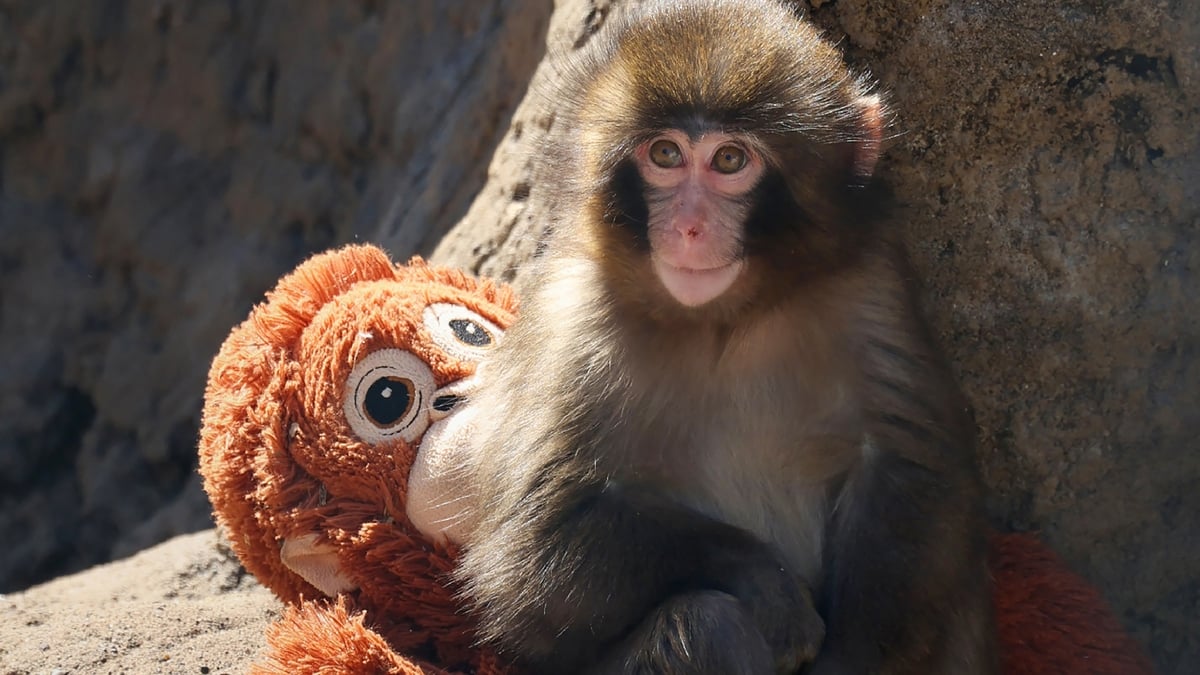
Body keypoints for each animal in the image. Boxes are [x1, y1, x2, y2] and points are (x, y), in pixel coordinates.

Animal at [455, 1, 998, 673]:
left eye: (730, 161)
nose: (689, 227)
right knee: (703, 623)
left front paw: (848, 656)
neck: (725, 320)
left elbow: (912, 472)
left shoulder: (871, 286)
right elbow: (533, 553)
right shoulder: (573, 322)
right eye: (665, 154)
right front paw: (766, 583)